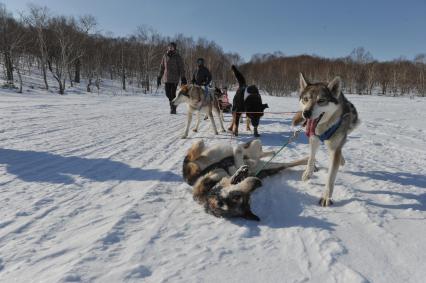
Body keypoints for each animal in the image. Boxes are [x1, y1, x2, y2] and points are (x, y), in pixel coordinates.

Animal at [300, 73, 360, 206]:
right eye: (306, 99)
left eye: (321, 100)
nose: (306, 113)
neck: (324, 126)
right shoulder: (313, 139)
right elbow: (311, 158)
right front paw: (308, 173)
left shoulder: (335, 148)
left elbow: (331, 175)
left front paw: (326, 196)